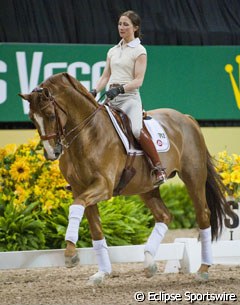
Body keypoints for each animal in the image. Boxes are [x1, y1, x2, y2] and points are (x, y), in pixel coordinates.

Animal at [19, 72, 226, 284]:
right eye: (32, 119)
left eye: (51, 115)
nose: (51, 153)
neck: (87, 134)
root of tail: (187, 118)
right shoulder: (80, 189)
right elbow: (95, 228)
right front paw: (100, 272)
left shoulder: (103, 186)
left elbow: (76, 207)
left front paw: (70, 255)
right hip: (147, 187)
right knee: (165, 216)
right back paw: (149, 263)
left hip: (193, 176)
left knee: (203, 215)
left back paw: (203, 269)